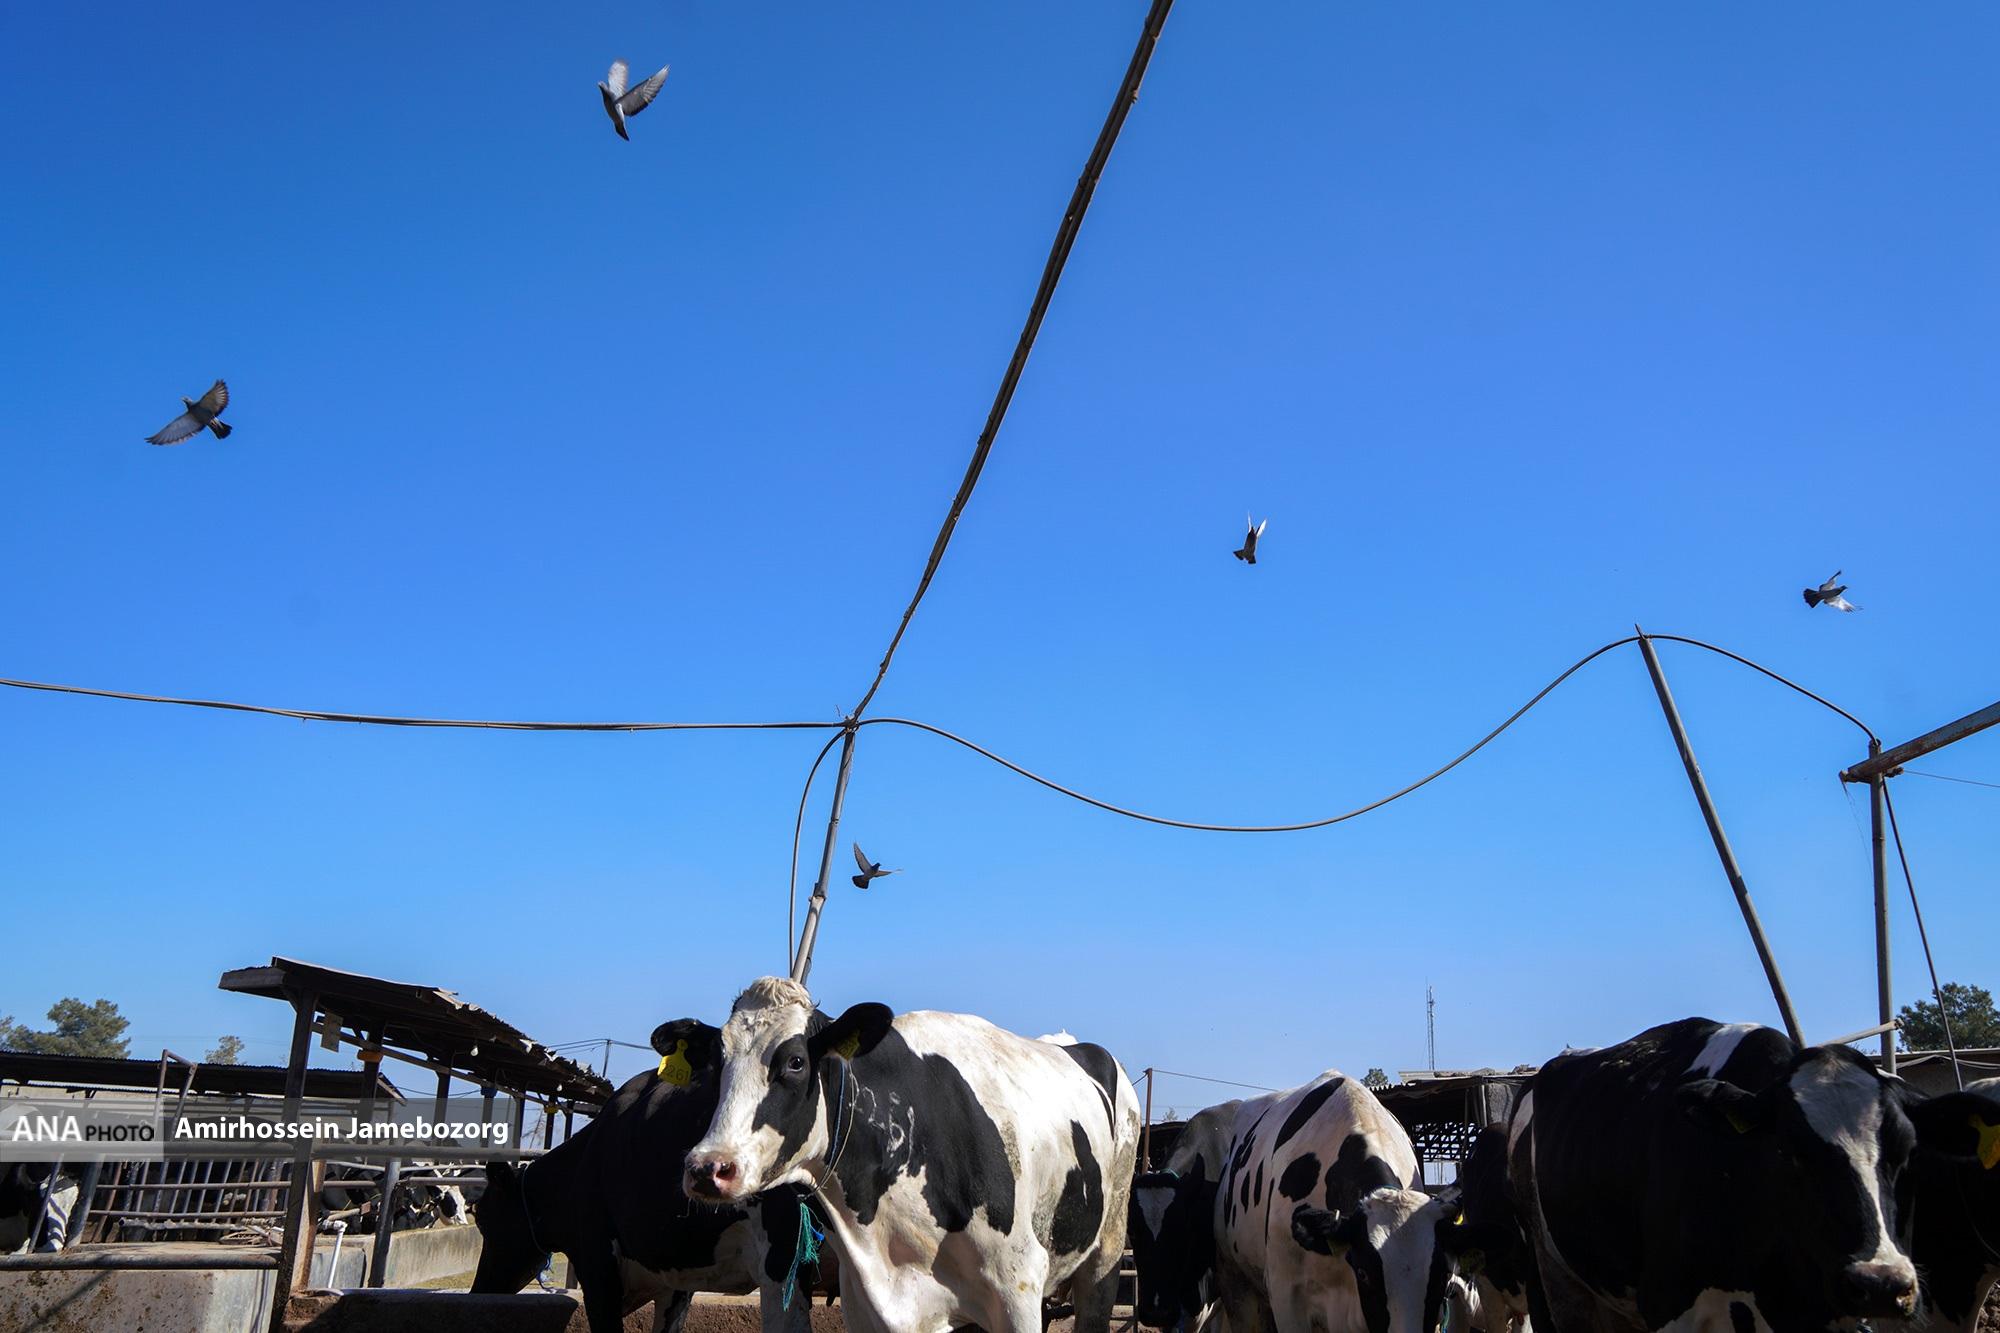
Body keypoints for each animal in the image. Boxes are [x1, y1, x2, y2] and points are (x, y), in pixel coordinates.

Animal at [680, 976, 1142, 1333]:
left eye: (795, 1062)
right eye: (717, 1060)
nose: (708, 1168)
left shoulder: (1018, 1285)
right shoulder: (867, 1304)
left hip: (1106, 1251)